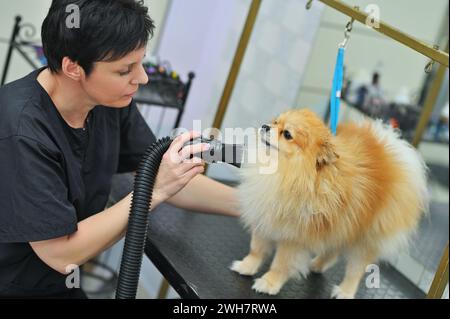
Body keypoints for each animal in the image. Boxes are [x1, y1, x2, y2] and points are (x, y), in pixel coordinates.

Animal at [230, 109, 428, 298]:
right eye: (275, 122)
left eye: (287, 134)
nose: (265, 126)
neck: (288, 172)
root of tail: (394, 153)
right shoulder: (263, 217)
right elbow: (256, 249)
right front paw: (247, 266)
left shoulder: (294, 237)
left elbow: (281, 264)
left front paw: (268, 283)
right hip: (341, 224)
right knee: (332, 250)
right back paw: (317, 264)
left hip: (366, 238)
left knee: (356, 269)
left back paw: (345, 292)